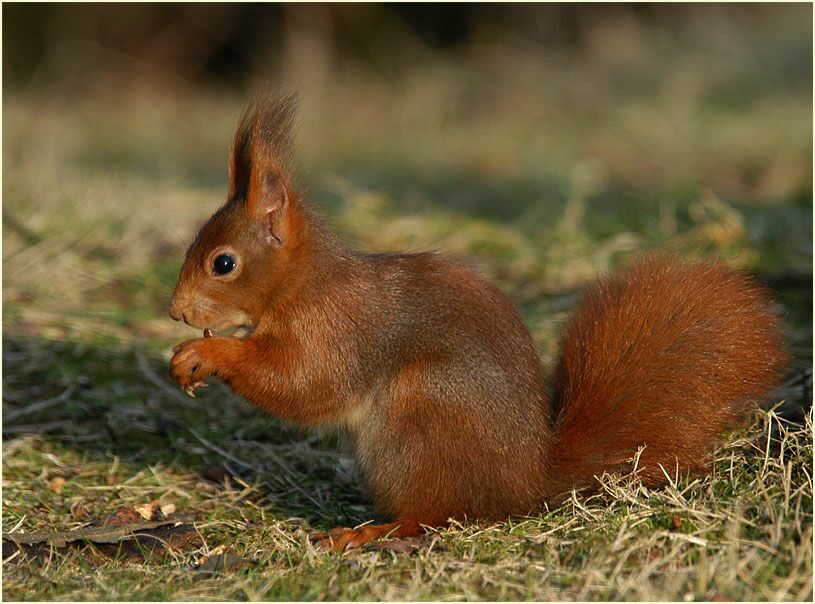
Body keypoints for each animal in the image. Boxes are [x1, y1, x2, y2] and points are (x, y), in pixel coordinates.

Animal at [169, 94, 787, 552]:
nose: (176, 311)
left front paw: (209, 354)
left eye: (223, 263)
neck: (302, 285)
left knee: (437, 514)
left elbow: (305, 384)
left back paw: (372, 531)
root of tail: (525, 484)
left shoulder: (339, 330)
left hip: (421, 415)